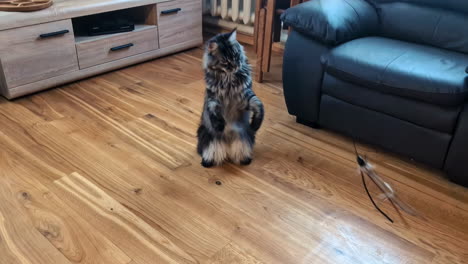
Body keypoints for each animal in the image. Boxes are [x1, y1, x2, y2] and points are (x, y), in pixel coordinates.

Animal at [196, 28, 266, 167]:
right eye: (225, 61)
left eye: (236, 55)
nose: (235, 65)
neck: (229, 81)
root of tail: (227, 145)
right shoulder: (213, 99)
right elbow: (214, 113)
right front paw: (220, 126)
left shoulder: (247, 98)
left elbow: (259, 106)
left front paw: (256, 123)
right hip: (205, 133)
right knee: (209, 150)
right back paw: (207, 161)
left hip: (246, 134)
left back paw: (244, 159)